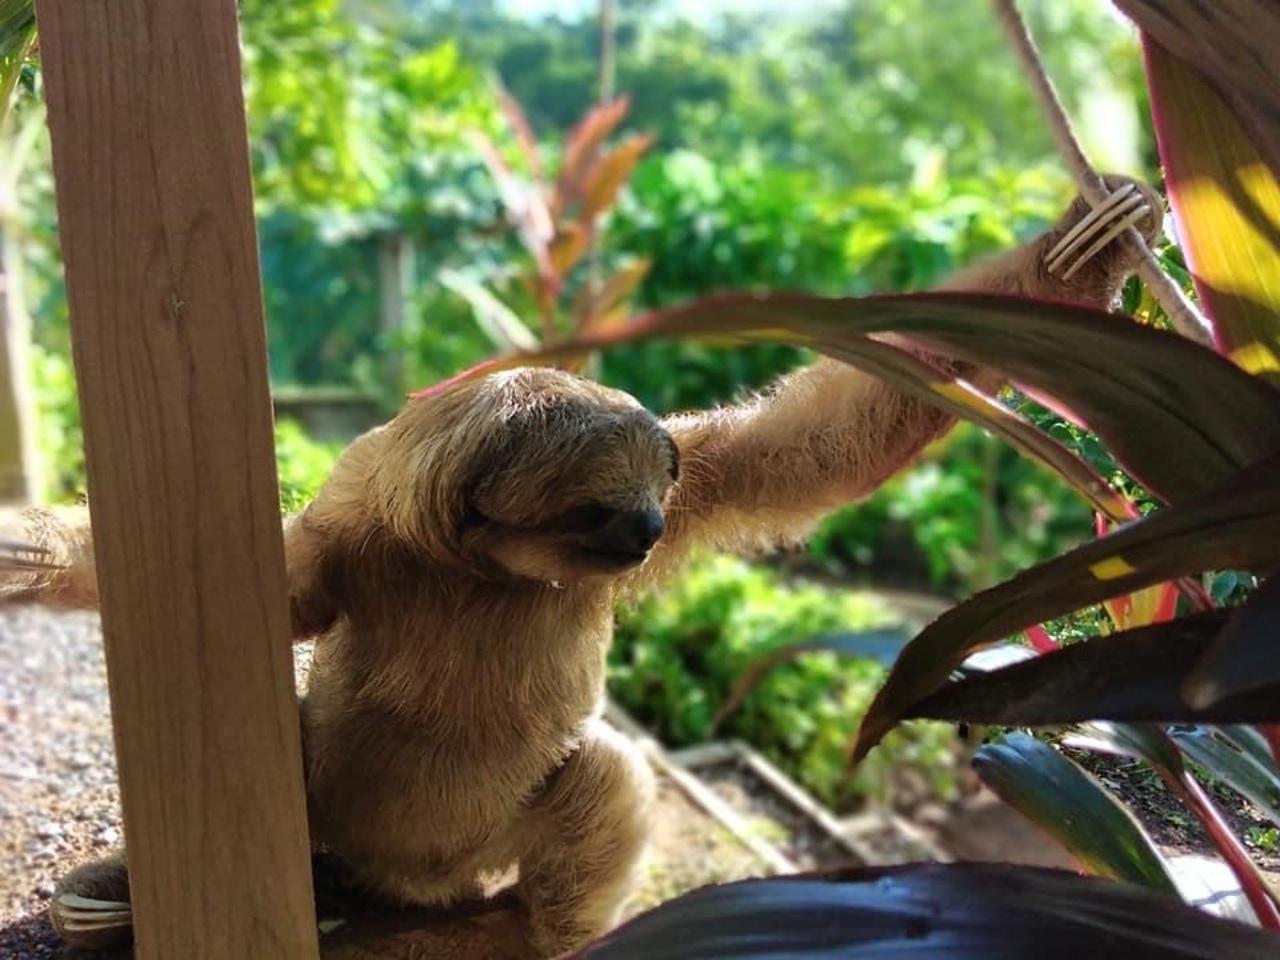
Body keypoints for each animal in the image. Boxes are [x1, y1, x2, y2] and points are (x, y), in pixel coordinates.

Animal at [2, 177, 1160, 956]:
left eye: (650, 499)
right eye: (596, 510)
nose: (645, 530)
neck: (484, 569)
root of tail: (408, 884)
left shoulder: (693, 482)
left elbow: (810, 442)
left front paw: (1080, 251)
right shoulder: (349, 531)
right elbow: (246, 599)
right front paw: (37, 547)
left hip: (479, 851)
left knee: (601, 773)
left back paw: (535, 933)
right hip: (342, 817)